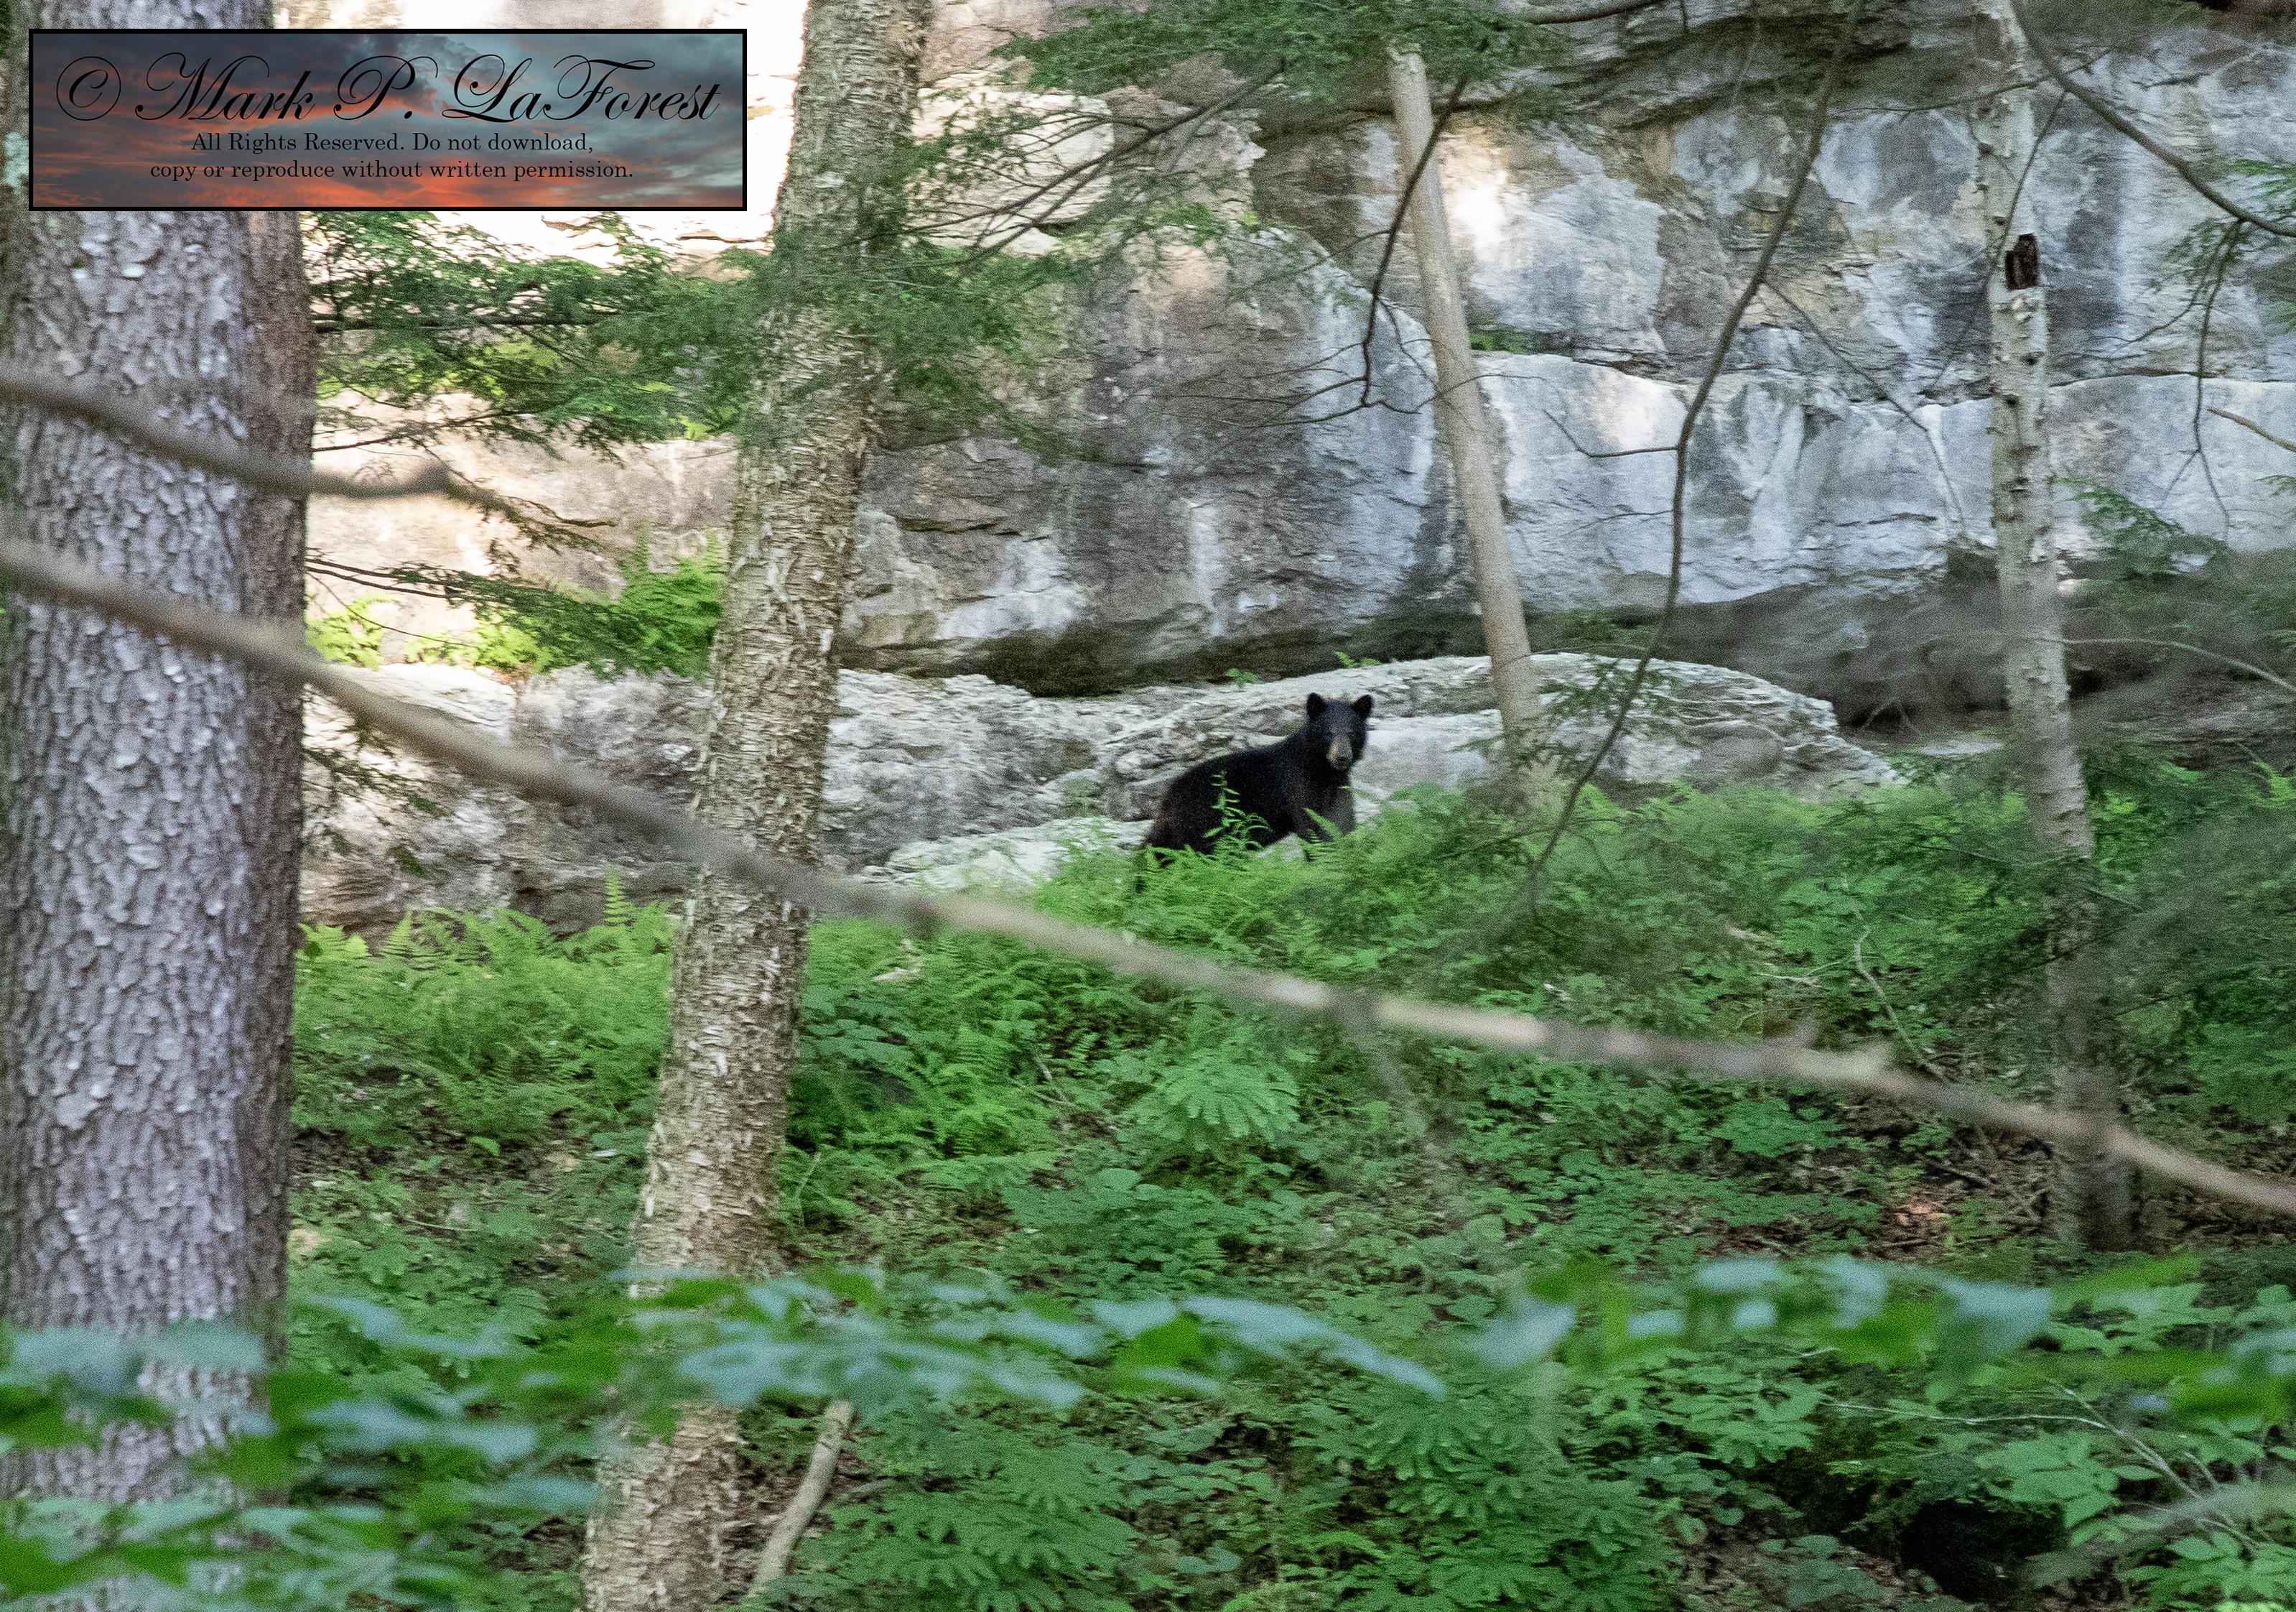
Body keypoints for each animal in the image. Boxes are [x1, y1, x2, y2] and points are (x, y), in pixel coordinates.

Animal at [1139, 692, 1376, 870]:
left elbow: (1342, 820)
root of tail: (1169, 796)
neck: (1322, 769)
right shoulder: (1299, 784)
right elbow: (1310, 825)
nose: (1341, 757)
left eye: (1352, 733)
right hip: (1204, 819)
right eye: (1328, 733)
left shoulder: (1338, 784)